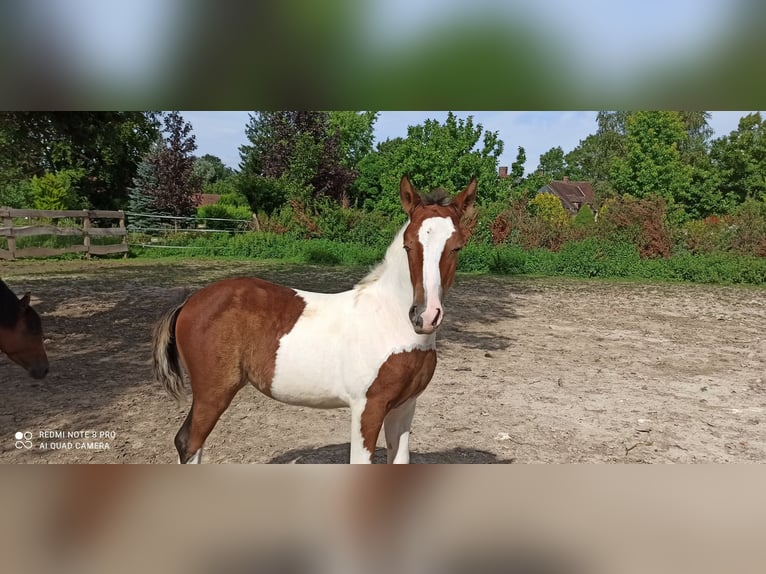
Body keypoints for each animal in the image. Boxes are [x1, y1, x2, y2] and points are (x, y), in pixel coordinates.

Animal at [152, 175, 477, 463]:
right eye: (409, 245)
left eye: (457, 247)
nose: (425, 315)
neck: (391, 322)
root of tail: (190, 301)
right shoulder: (367, 406)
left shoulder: (405, 406)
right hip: (213, 392)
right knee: (188, 443)